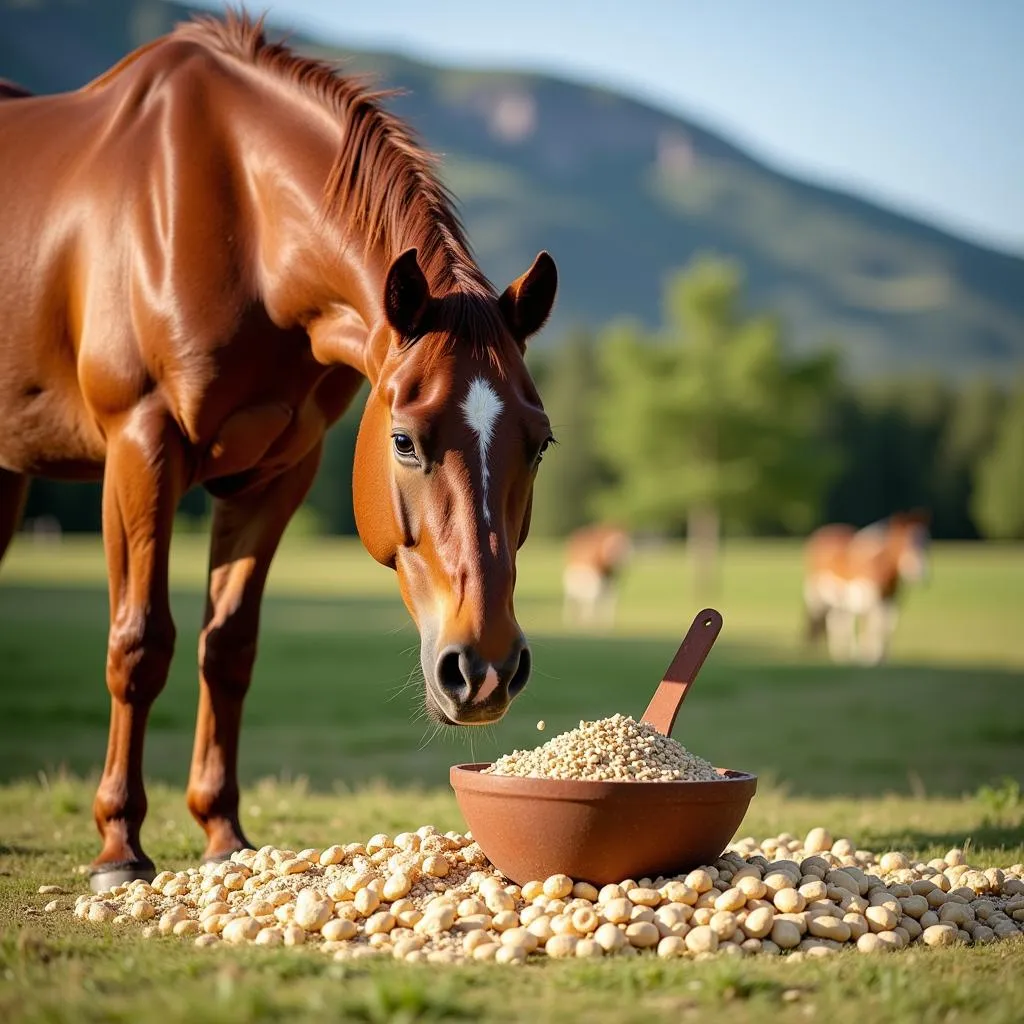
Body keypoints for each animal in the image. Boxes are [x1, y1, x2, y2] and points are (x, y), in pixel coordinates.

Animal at [2, 12, 561, 888]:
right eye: (404, 440)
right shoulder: (140, 447)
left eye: (539, 444)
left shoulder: (274, 474)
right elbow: (140, 643)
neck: (236, 215)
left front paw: (223, 833)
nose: (486, 668)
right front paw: (119, 846)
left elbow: (228, 648)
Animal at [802, 509, 933, 667]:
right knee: (821, 622)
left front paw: (881, 658)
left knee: (838, 621)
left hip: (840, 597)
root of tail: (823, 531)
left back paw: (843, 654)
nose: (919, 574)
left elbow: (886, 627)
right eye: (904, 540)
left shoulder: (892, 601)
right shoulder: (867, 599)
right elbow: (873, 627)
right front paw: (869, 658)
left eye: (926, 541)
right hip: (817, 594)